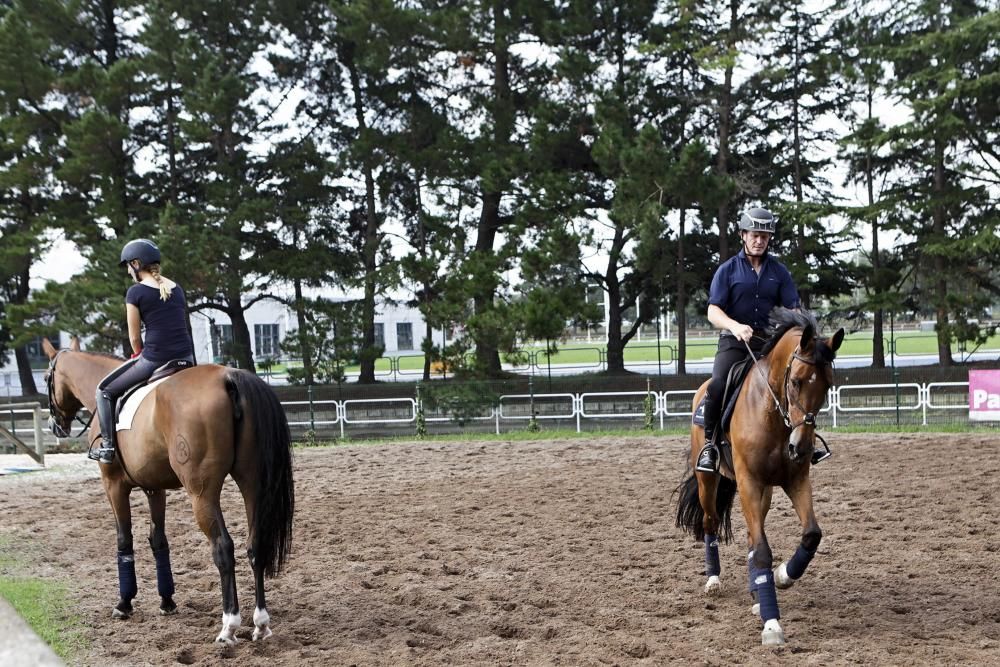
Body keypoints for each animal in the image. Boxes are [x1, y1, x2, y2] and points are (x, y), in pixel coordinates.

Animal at [43, 340, 292, 648]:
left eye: (47, 377)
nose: (55, 426)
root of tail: (229, 377)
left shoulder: (113, 485)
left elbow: (124, 539)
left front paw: (124, 603)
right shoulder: (155, 487)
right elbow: (158, 540)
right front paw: (167, 600)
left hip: (201, 493)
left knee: (223, 548)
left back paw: (229, 625)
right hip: (252, 483)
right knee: (255, 546)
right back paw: (260, 623)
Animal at [672, 312, 844, 648]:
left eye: (828, 385)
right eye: (796, 381)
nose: (801, 447)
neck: (772, 413)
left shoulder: (795, 480)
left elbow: (811, 535)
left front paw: (782, 576)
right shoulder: (749, 481)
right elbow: (763, 550)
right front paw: (772, 624)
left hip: (763, 492)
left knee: (754, 534)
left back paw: (756, 591)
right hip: (708, 482)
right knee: (711, 523)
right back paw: (713, 580)